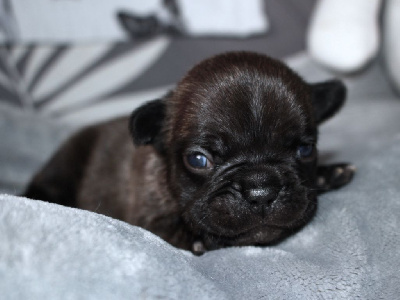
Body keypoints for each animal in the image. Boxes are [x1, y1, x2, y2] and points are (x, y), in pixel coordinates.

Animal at [24, 51, 354, 253]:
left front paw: (328, 173)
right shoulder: (147, 216)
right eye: (198, 160)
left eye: (305, 149)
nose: (261, 190)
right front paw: (198, 238)